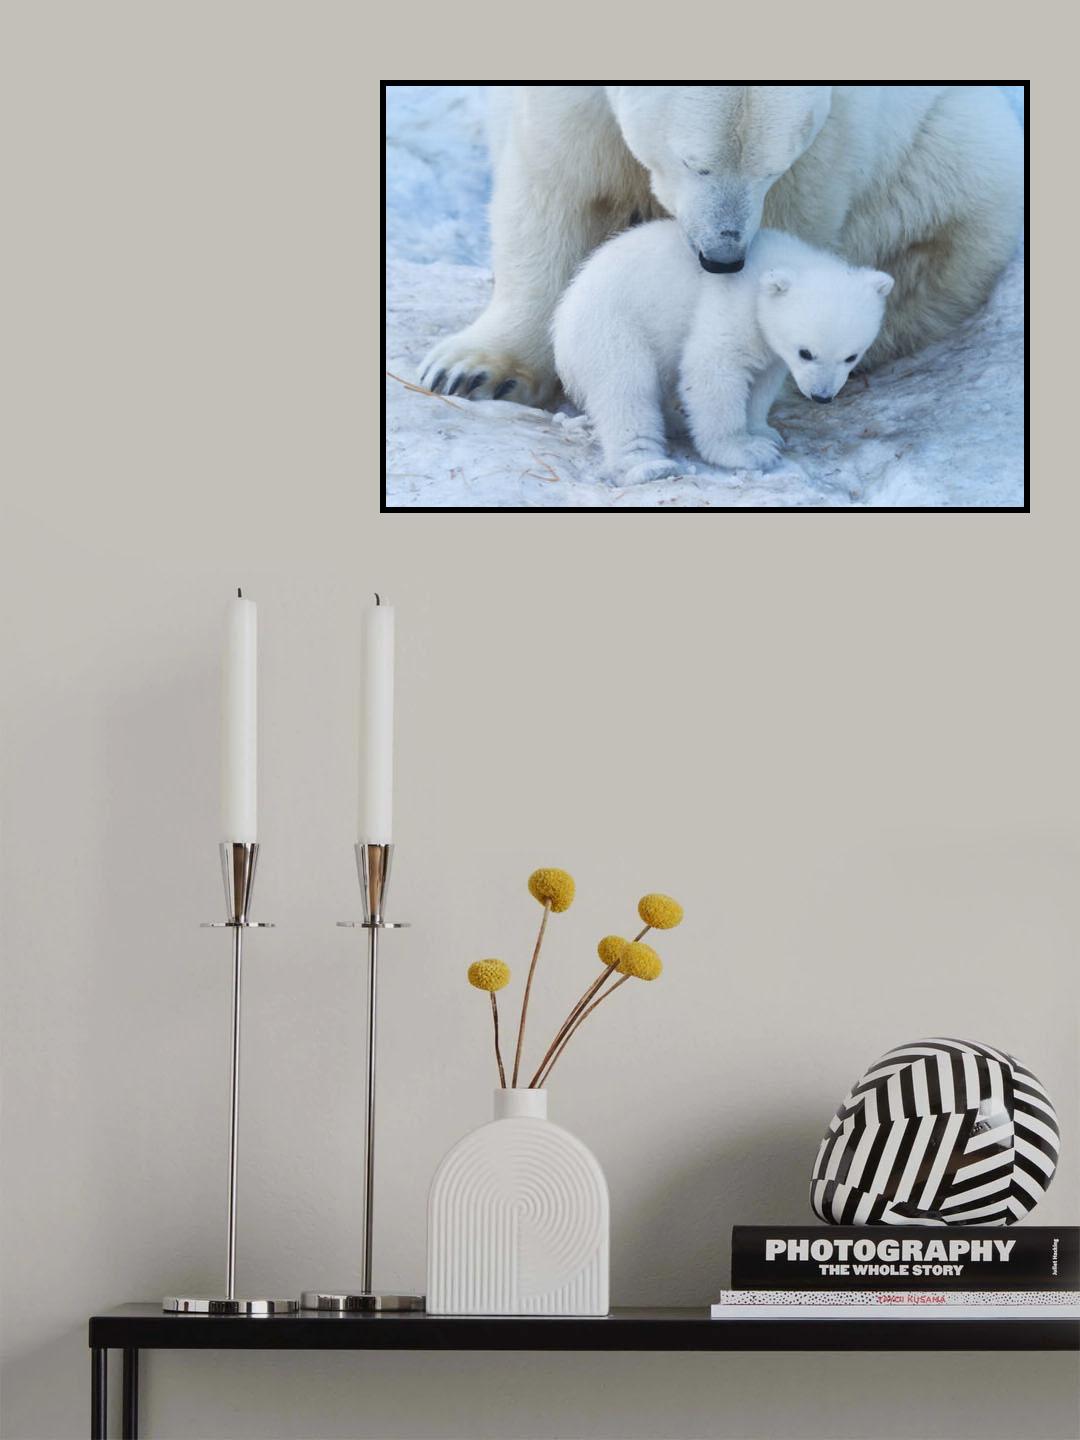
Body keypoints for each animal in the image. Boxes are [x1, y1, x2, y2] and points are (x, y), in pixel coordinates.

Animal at [418, 85, 1023, 408]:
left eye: (771, 168)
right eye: (694, 162)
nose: (722, 257)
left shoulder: (833, 135)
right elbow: (558, 182)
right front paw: (473, 372)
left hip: (948, 156)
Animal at [553, 221, 894, 485]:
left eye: (851, 356)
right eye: (806, 352)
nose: (822, 396)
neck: (773, 265)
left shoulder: (770, 345)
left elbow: (763, 382)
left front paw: (764, 433)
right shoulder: (732, 305)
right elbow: (713, 371)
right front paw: (748, 451)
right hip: (612, 327)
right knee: (626, 390)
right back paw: (648, 466)